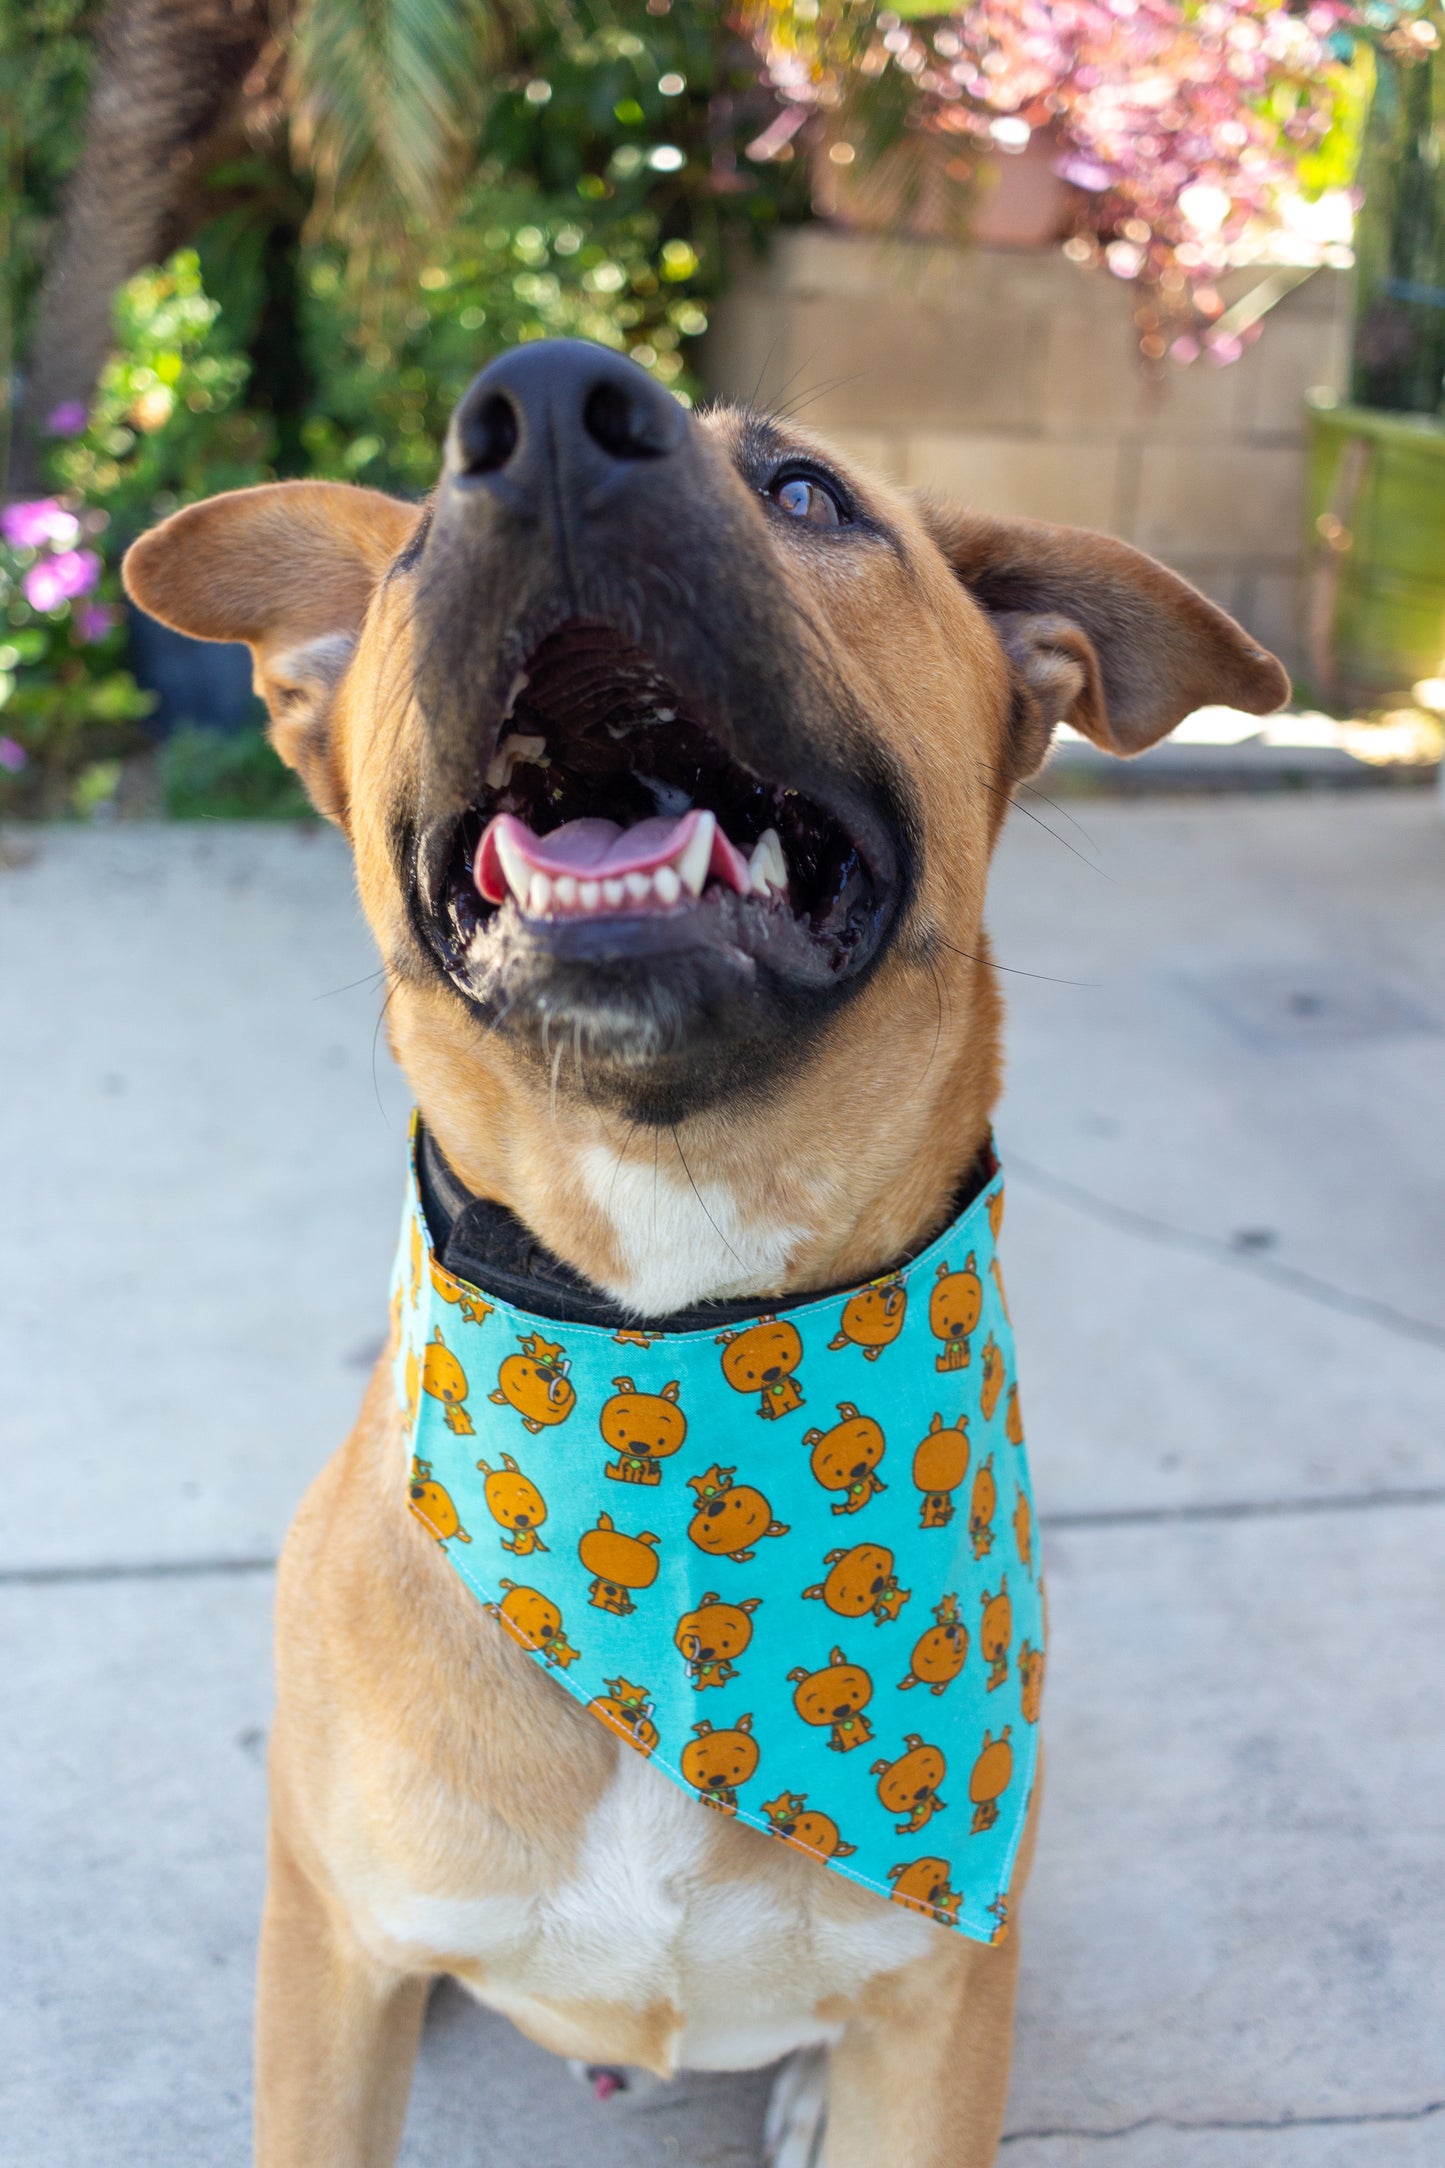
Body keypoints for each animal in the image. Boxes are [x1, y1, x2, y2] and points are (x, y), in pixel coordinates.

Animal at [118, 338, 1282, 2168]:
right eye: (407, 549)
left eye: (807, 491)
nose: (539, 411)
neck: (679, 1327)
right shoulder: (327, 1967)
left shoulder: (941, 2020)